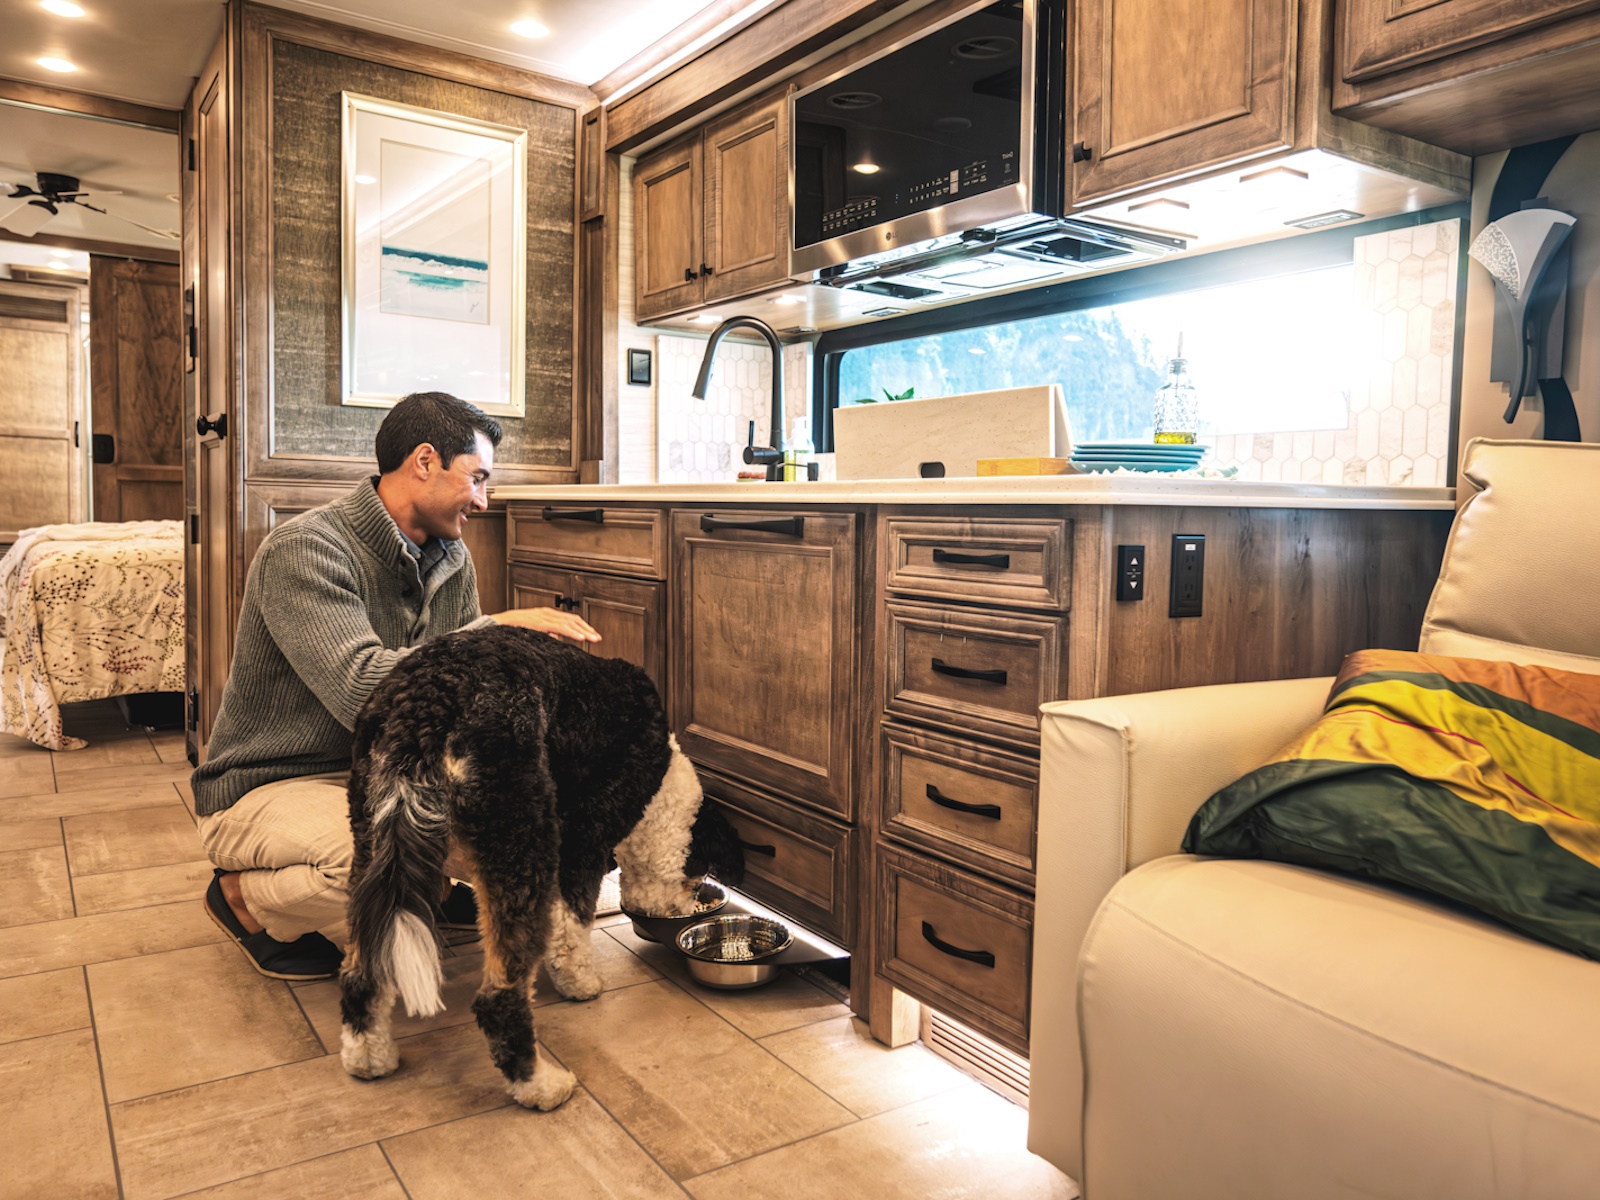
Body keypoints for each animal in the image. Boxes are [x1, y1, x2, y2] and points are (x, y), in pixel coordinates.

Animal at [336, 623, 744, 1110]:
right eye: (697, 878)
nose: (684, 908)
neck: (659, 781)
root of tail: (422, 713)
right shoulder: (583, 839)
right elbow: (571, 924)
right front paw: (580, 982)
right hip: (520, 844)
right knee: (498, 998)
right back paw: (540, 1086)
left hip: (373, 849)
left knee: (362, 971)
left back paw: (367, 1056)